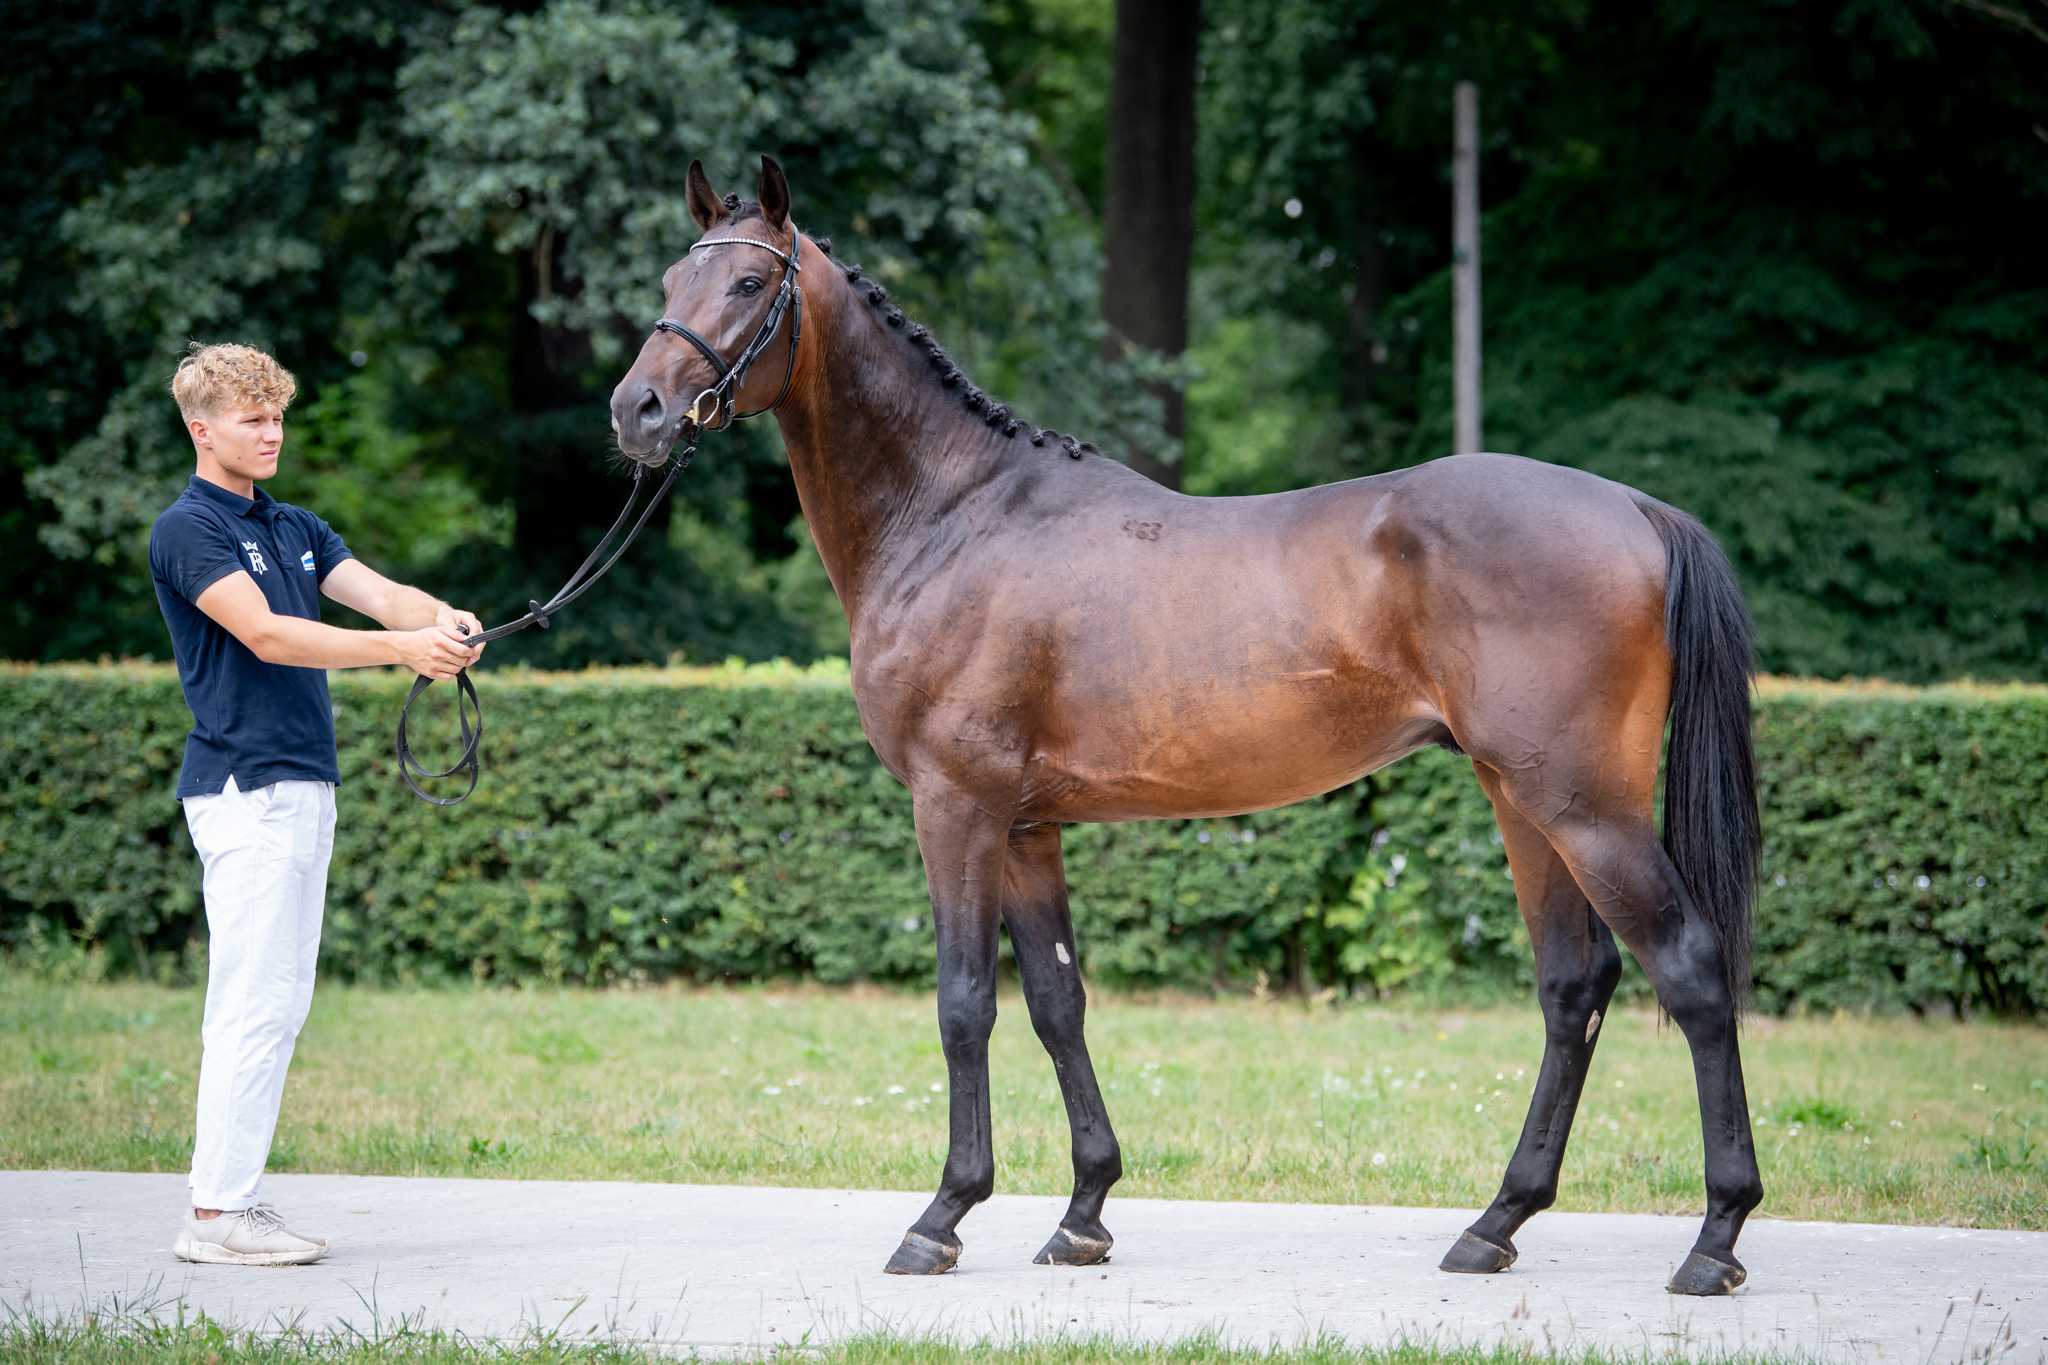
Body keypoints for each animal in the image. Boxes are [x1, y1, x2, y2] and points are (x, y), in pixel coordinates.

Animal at [608, 156, 1765, 1297]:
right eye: (670, 278)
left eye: (749, 284)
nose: (638, 410)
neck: (954, 517)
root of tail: (1634, 509)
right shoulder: (1025, 827)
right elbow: (1057, 1002)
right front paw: (1082, 1212)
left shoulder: (956, 808)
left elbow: (964, 1003)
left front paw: (942, 1217)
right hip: (1522, 801)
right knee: (1573, 987)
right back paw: (1496, 1223)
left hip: (1581, 807)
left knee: (1689, 968)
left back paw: (1713, 1237)